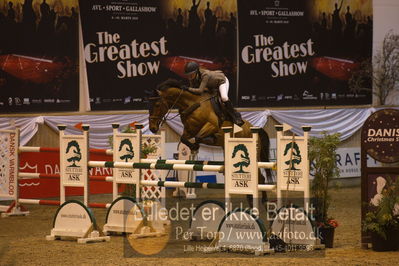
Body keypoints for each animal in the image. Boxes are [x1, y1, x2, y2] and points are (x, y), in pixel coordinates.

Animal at [148, 80, 276, 207]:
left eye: (157, 105)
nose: (152, 128)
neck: (191, 104)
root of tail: (255, 129)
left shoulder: (211, 126)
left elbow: (199, 137)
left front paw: (200, 144)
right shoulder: (189, 131)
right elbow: (183, 139)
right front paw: (194, 147)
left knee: (261, 178)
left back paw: (264, 201)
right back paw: (250, 199)